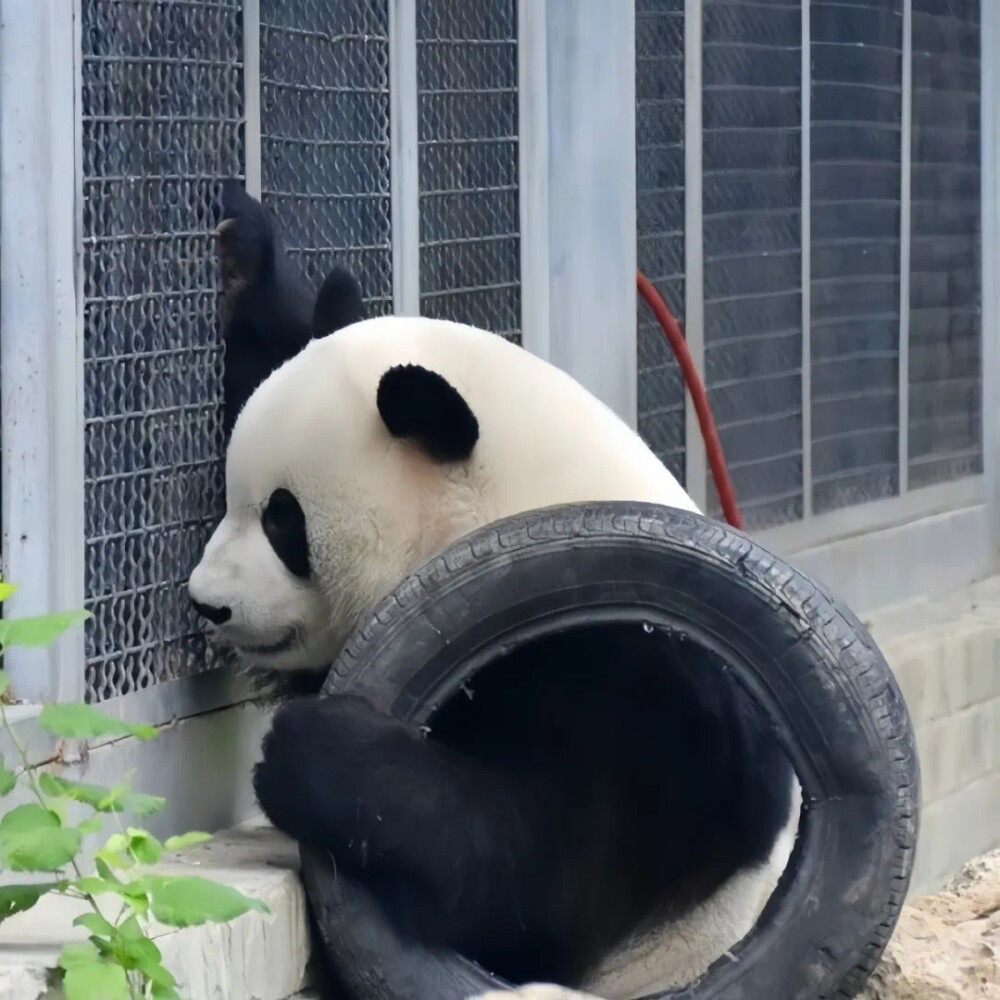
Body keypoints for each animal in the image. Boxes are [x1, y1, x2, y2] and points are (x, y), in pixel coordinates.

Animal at [193, 191, 804, 996]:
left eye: (283, 521)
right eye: (235, 499)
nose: (208, 602)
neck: (520, 506)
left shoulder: (632, 668)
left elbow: (552, 877)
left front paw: (314, 752)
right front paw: (244, 248)